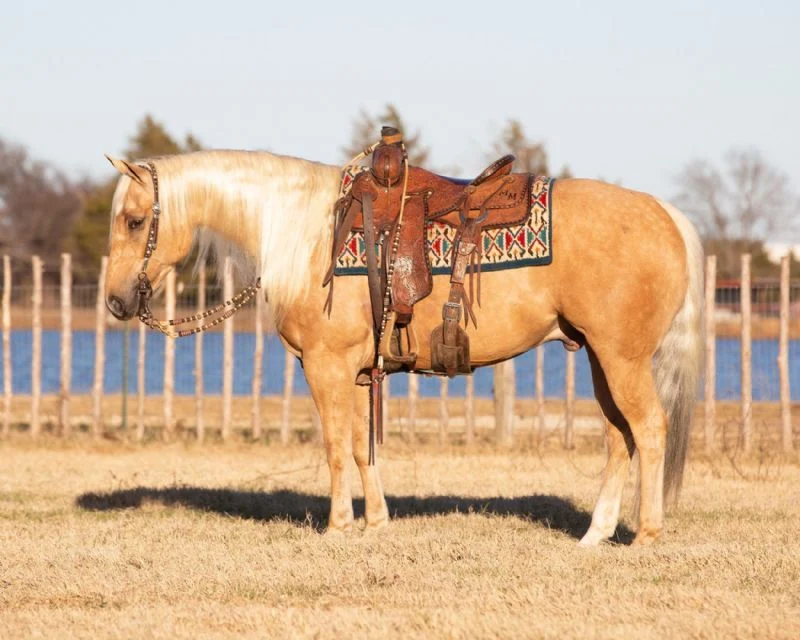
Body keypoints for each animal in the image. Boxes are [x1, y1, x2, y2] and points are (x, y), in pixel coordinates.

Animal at [103, 148, 703, 546]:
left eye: (135, 221)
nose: (114, 301)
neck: (306, 233)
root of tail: (666, 214)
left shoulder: (325, 366)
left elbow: (334, 446)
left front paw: (338, 526)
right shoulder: (353, 371)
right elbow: (358, 444)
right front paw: (375, 520)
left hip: (623, 360)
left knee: (649, 430)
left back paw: (647, 535)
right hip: (603, 359)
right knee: (619, 438)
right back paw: (595, 535)